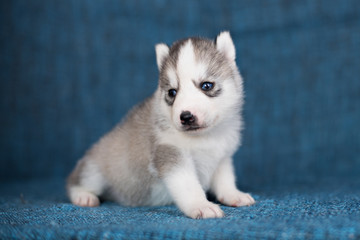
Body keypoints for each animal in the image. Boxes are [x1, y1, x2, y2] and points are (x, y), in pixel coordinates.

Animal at [67, 31, 253, 218]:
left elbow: (225, 180)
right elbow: (189, 186)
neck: (205, 137)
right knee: (74, 181)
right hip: (94, 170)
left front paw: (234, 195)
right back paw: (83, 196)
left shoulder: (222, 158)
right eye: (172, 92)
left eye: (206, 85)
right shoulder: (171, 154)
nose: (186, 117)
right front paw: (201, 205)